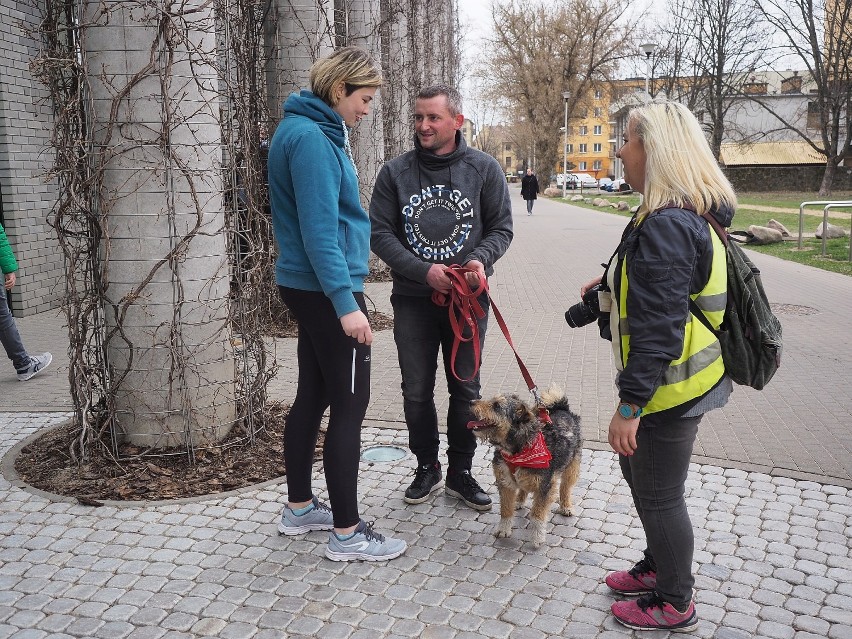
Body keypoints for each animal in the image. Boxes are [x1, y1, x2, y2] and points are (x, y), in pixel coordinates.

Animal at [470, 388, 584, 548]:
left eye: (497, 406)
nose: (471, 402)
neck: (520, 448)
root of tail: (562, 408)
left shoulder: (545, 487)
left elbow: (537, 513)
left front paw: (537, 536)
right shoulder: (505, 482)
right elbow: (505, 509)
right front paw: (504, 529)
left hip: (572, 465)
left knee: (566, 487)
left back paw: (566, 506)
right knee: (523, 487)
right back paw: (518, 501)